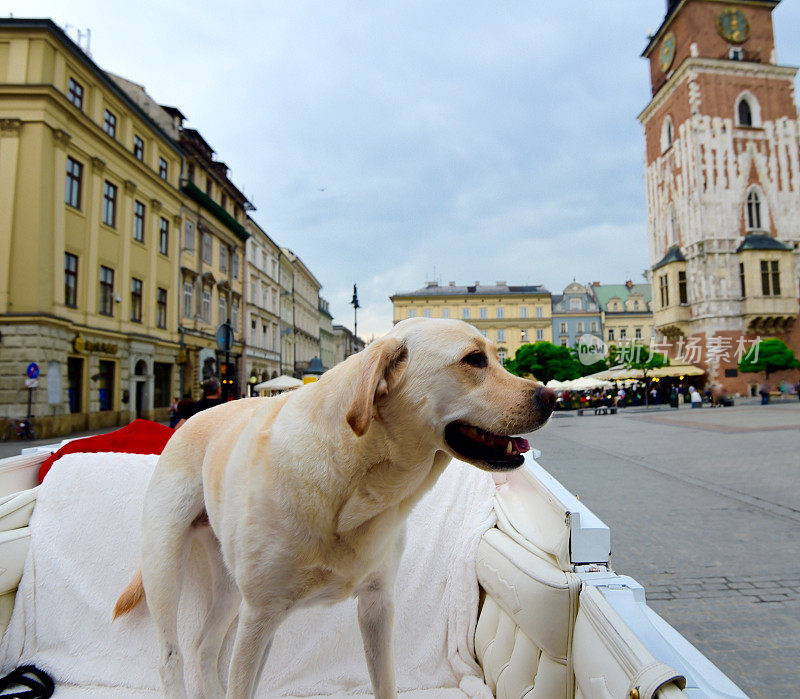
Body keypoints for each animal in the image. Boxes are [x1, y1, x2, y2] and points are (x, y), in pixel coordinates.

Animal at [114, 318, 556, 699]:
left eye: (497, 357)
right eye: (474, 359)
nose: (552, 396)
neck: (356, 483)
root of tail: (189, 419)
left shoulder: (377, 604)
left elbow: (385, 684)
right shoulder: (260, 617)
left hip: (228, 586)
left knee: (204, 648)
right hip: (165, 567)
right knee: (171, 657)